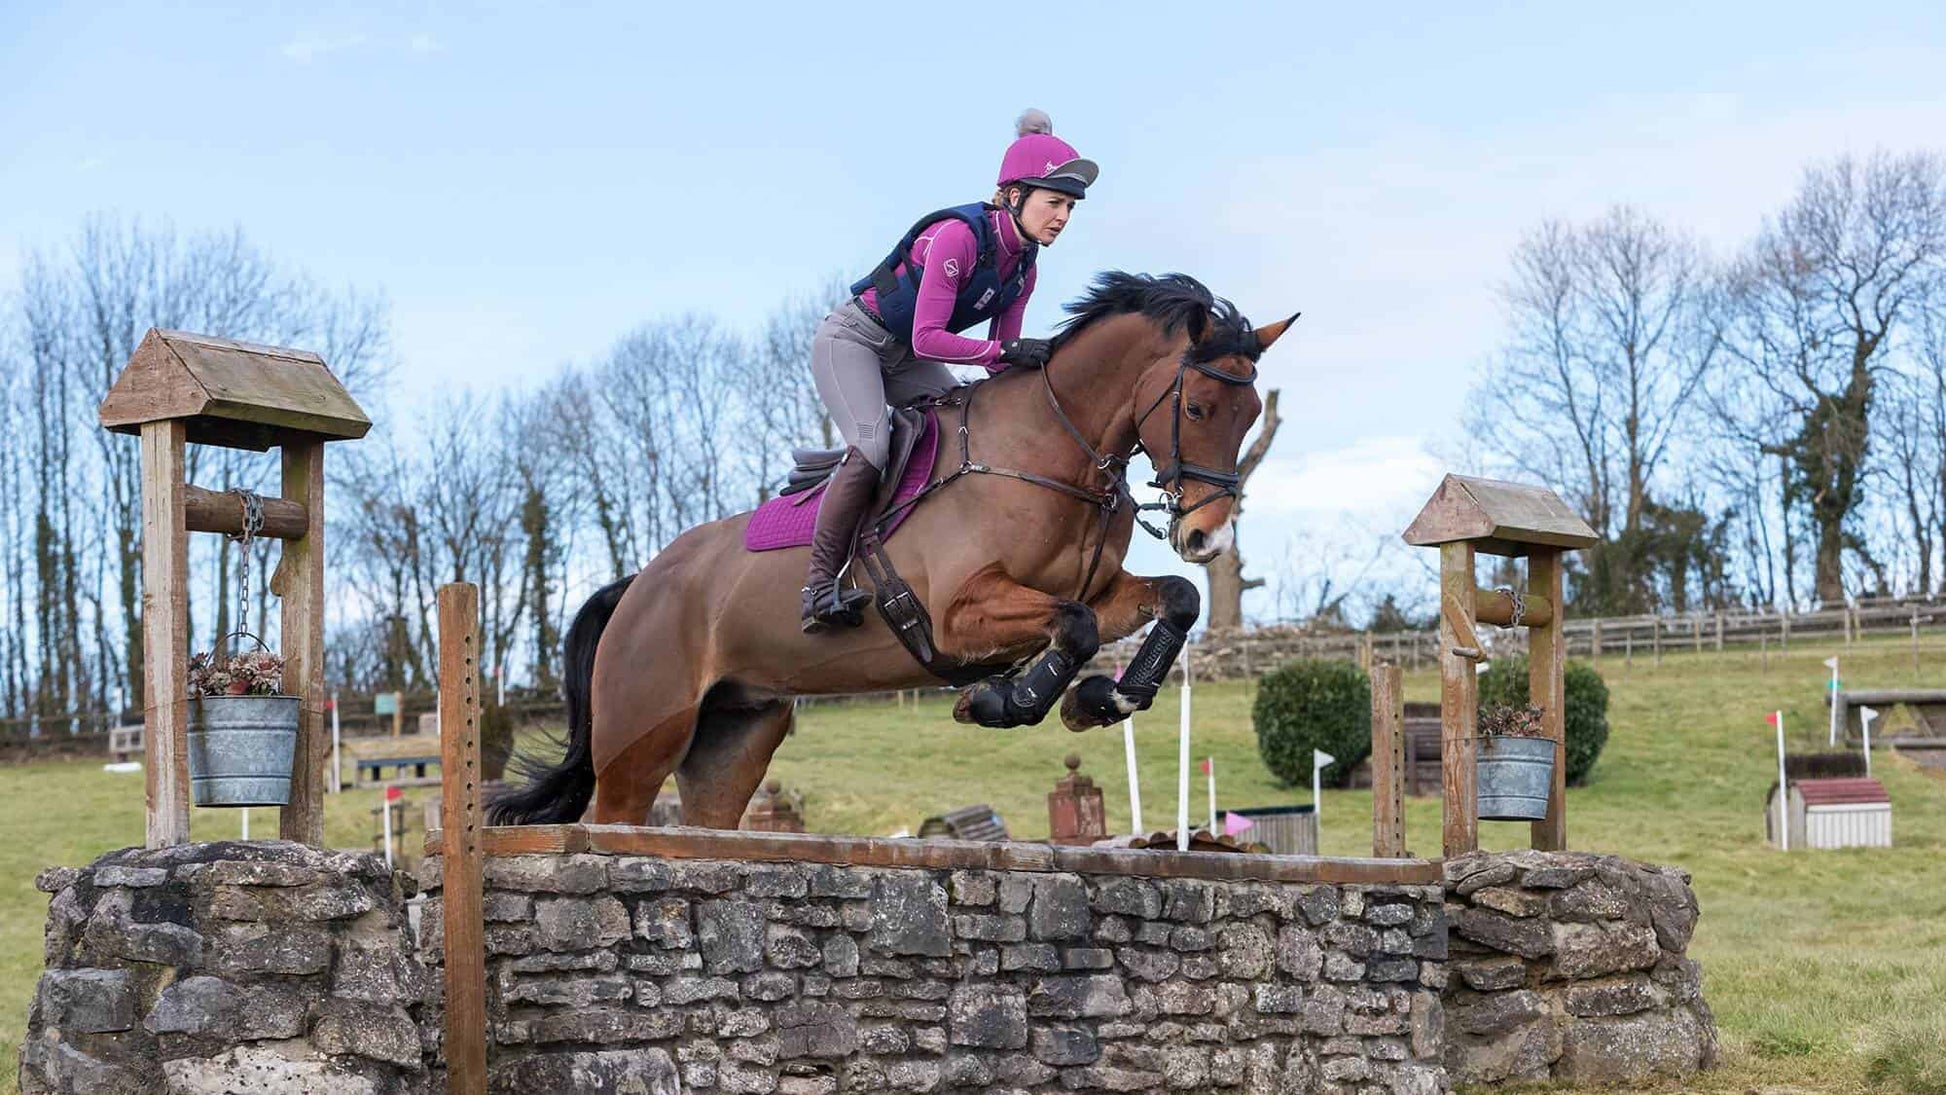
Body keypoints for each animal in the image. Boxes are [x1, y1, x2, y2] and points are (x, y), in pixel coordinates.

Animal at [487, 272, 1295, 829]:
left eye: (1254, 412)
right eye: (1198, 408)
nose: (1208, 536)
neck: (1049, 450)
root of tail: (637, 586)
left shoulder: (1098, 587)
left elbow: (1170, 601)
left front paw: (1103, 698)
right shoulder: (960, 613)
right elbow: (1075, 626)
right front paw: (1004, 700)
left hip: (734, 740)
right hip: (640, 741)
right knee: (615, 816)